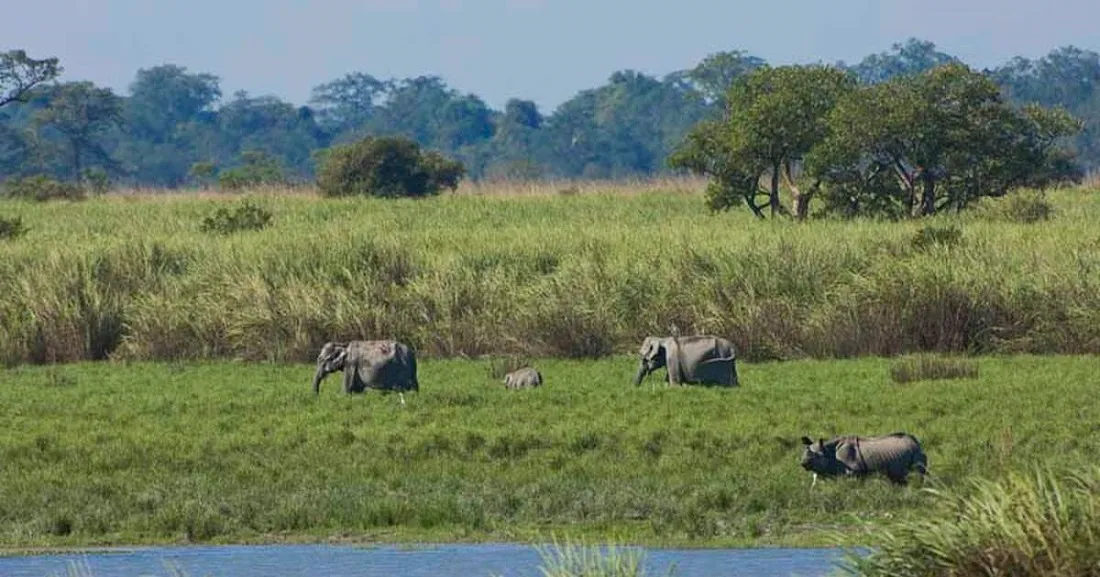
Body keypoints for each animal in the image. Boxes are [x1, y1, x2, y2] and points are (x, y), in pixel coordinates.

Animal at [800, 430, 928, 485]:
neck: (828, 452)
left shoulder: (854, 471)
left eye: (816, 456)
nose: (803, 463)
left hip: (917, 453)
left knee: (919, 472)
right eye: (804, 453)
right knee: (897, 477)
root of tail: (916, 442)